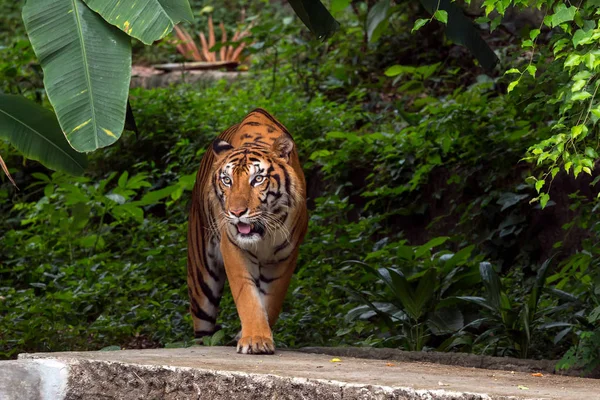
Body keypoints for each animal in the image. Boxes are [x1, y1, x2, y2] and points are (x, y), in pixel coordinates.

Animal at [186, 108, 310, 354]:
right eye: (227, 180)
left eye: (258, 179)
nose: (236, 212)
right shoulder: (233, 248)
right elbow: (248, 297)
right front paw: (255, 339)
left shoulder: (286, 256)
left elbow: (271, 301)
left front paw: (253, 335)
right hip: (201, 279)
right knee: (202, 329)